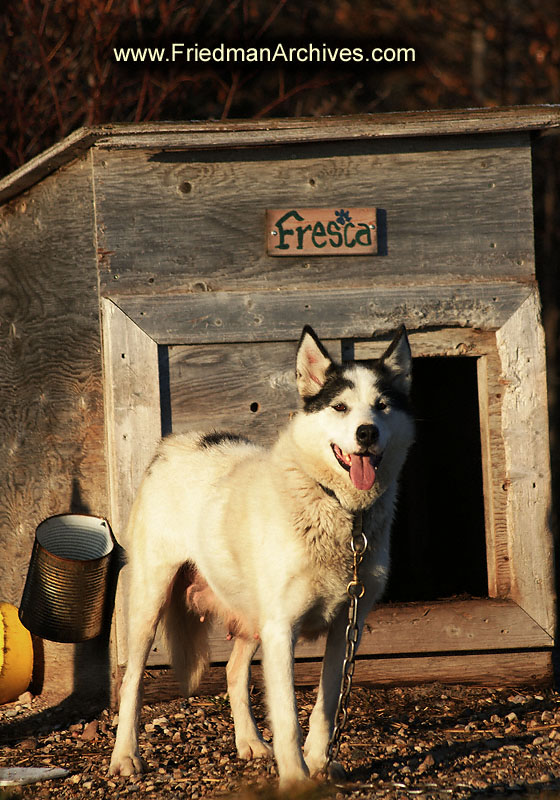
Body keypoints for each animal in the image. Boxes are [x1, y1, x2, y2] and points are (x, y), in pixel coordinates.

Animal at [110, 326, 416, 788]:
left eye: (381, 406)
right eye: (340, 407)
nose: (366, 433)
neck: (340, 511)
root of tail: (175, 443)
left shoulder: (346, 628)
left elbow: (325, 708)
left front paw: (320, 763)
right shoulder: (281, 630)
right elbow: (288, 717)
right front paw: (296, 778)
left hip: (251, 612)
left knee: (234, 673)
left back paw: (250, 743)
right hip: (151, 602)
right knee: (131, 682)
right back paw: (126, 756)